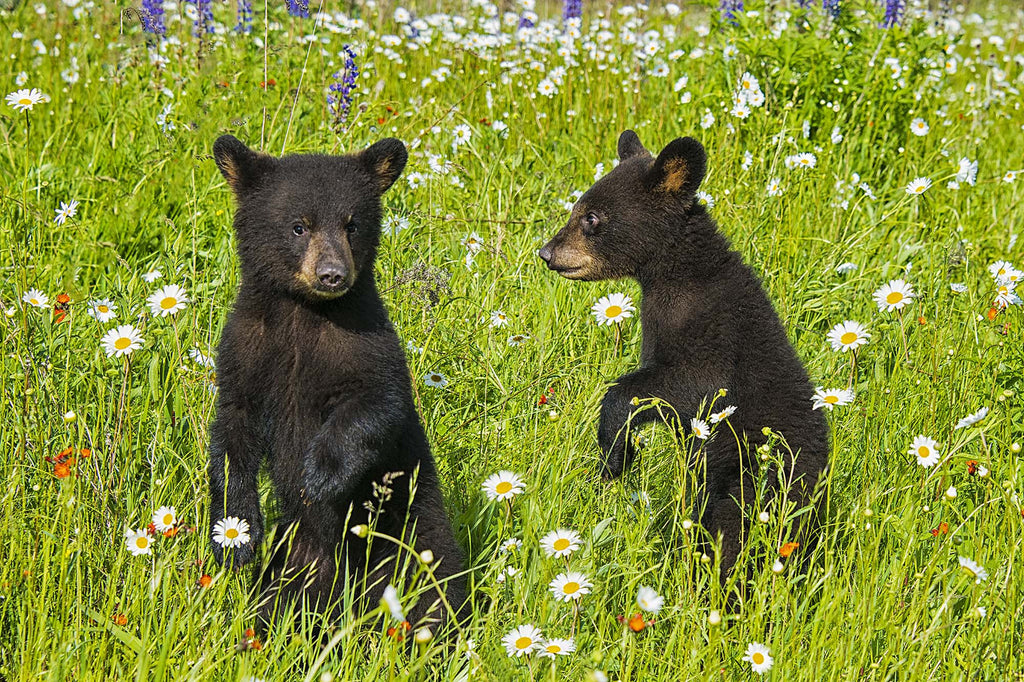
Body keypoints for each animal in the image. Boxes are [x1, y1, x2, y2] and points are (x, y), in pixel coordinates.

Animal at [207, 134, 467, 634]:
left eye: (352, 224)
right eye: (298, 226)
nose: (332, 275)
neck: (303, 314)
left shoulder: (363, 340)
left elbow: (375, 404)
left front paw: (321, 476)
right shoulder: (246, 350)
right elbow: (232, 432)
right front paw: (236, 536)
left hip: (408, 539)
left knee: (432, 592)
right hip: (294, 559)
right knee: (280, 599)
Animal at [538, 130, 829, 578]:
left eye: (592, 217)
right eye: (577, 210)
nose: (547, 253)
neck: (678, 274)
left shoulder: (713, 335)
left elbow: (682, 385)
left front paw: (614, 455)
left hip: (755, 480)